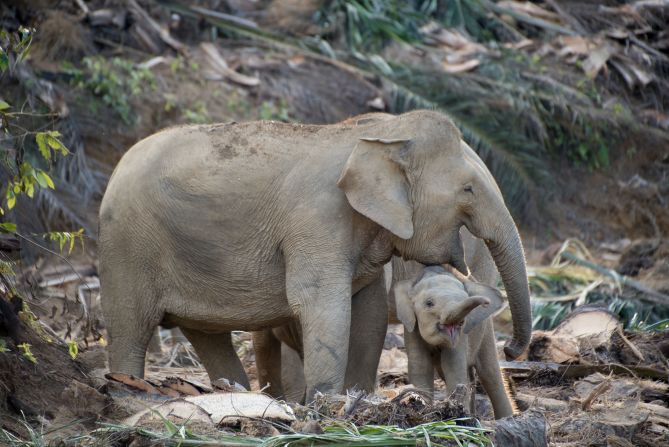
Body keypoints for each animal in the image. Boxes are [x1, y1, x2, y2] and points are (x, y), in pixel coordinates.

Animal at [98, 110, 532, 401]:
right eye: (468, 190)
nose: (514, 349)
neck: (377, 135)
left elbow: (369, 311)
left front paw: (355, 401)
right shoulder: (318, 219)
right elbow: (320, 302)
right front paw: (325, 404)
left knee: (207, 335)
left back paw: (235, 392)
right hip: (127, 245)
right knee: (130, 326)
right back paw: (127, 391)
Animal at [393, 264, 516, 419]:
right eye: (429, 303)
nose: (486, 302)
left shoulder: (461, 336)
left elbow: (453, 365)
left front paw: (456, 415)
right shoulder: (411, 327)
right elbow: (420, 365)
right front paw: (421, 407)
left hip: (486, 332)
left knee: (490, 374)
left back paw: (505, 418)